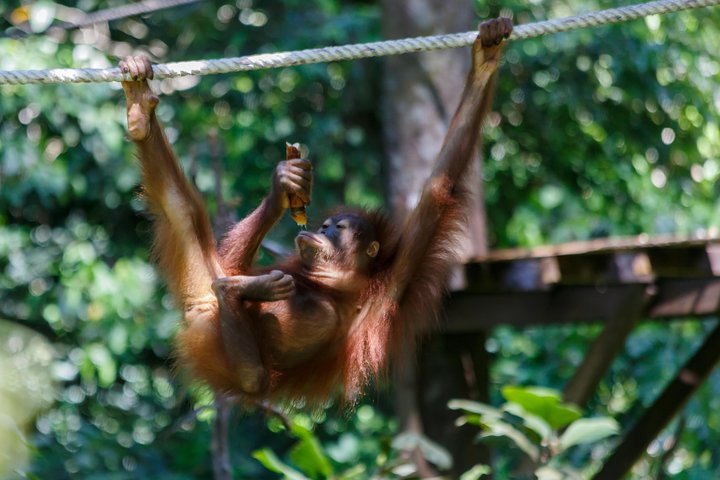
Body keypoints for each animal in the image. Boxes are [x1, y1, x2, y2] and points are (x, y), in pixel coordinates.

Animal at [119, 17, 512, 408]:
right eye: (324, 225)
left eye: (337, 228)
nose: (320, 231)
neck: (339, 281)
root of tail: (202, 310)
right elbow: (231, 261)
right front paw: (284, 186)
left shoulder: (395, 282)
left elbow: (438, 188)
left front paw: (487, 59)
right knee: (185, 214)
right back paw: (140, 113)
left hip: (221, 334)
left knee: (252, 375)